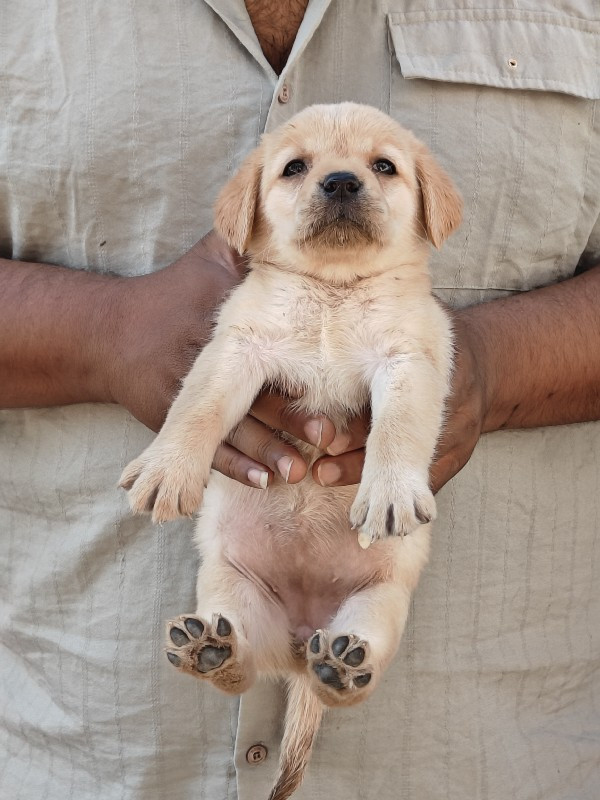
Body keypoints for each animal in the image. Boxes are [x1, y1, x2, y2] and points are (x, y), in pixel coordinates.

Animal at [119, 104, 462, 800]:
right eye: (295, 167)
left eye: (384, 166)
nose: (341, 182)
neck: (333, 291)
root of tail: (303, 645)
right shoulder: (237, 348)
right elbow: (195, 407)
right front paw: (169, 467)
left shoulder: (408, 359)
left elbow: (397, 429)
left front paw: (387, 490)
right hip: (233, 591)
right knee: (240, 667)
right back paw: (207, 649)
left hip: (380, 606)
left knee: (348, 687)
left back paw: (342, 665)